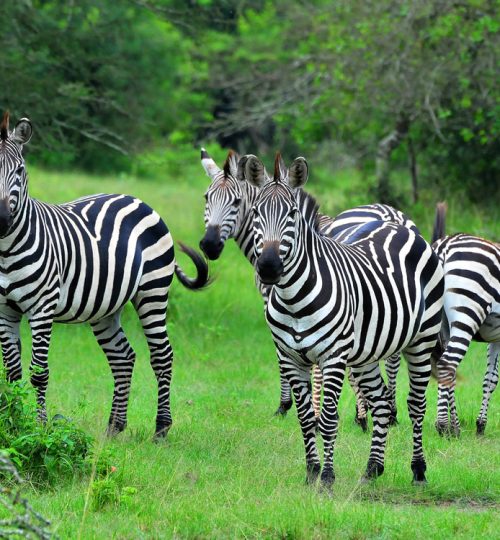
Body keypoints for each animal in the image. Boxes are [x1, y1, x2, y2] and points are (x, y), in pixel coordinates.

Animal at [0, 113, 210, 438]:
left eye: (20, 170)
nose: (1, 220)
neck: (5, 249)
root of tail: (137, 199)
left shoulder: (41, 308)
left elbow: (38, 373)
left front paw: (39, 427)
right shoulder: (4, 310)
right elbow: (11, 374)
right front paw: (11, 423)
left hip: (152, 292)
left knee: (162, 355)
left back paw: (161, 428)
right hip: (106, 307)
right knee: (123, 357)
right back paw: (115, 426)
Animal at [197, 148, 370, 422]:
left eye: (236, 202)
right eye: (206, 197)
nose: (210, 245)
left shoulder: (275, 301)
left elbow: (284, 356)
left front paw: (285, 405)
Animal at [241, 153, 442, 490]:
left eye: (292, 214)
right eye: (255, 213)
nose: (268, 267)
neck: (293, 299)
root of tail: (398, 225)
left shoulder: (332, 357)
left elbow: (328, 419)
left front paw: (327, 478)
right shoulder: (290, 357)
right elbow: (306, 418)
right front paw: (311, 472)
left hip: (421, 340)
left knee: (416, 404)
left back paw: (418, 470)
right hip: (366, 354)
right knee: (381, 402)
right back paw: (373, 468)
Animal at [432, 201, 498, 434]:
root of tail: (444, 247)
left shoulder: (496, 338)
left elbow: (490, 378)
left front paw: (480, 424)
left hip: (442, 324)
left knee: (446, 367)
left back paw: (455, 427)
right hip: (467, 313)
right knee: (447, 364)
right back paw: (443, 426)